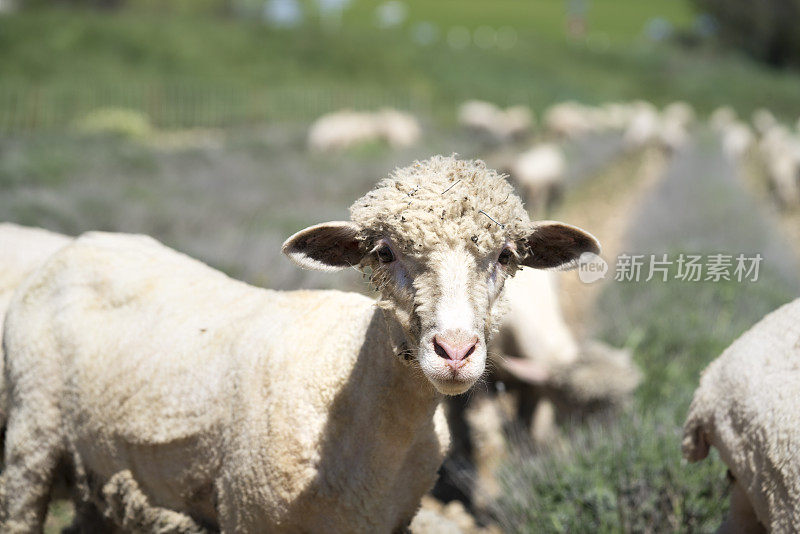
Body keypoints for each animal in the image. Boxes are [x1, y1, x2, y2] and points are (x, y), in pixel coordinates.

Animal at [0, 156, 600, 534]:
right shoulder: (249, 514)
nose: (454, 352)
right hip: (32, 436)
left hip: (101, 469)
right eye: (383, 253)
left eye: (506, 256)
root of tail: (84, 242)